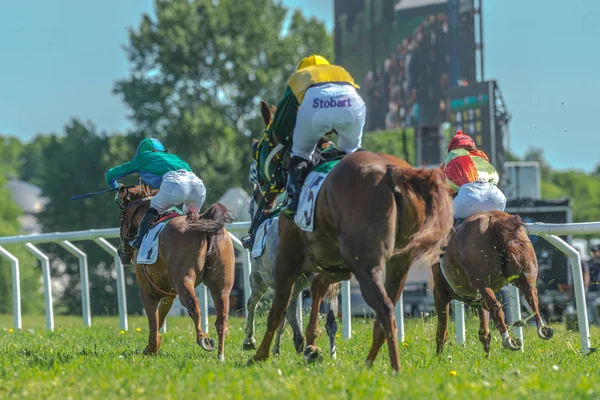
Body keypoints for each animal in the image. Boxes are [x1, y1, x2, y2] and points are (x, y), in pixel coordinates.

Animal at [116, 184, 236, 360]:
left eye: (121, 218)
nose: (121, 253)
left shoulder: (147, 289)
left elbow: (153, 320)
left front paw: (152, 348)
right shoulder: (169, 292)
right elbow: (160, 318)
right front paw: (152, 346)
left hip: (184, 279)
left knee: (194, 306)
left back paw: (203, 340)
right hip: (222, 284)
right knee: (222, 317)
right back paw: (220, 355)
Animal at [246, 101, 452, 372]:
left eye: (257, 147)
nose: (259, 197)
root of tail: (393, 172)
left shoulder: (288, 261)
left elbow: (277, 309)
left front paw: (261, 355)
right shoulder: (336, 264)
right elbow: (317, 288)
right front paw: (312, 346)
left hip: (366, 266)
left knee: (385, 309)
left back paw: (393, 369)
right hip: (399, 263)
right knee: (383, 313)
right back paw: (369, 363)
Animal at [432, 212, 552, 356]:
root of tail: (495, 218)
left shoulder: (440, 293)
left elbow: (442, 332)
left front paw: (439, 358)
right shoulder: (480, 300)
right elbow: (484, 332)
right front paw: (487, 357)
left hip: (483, 284)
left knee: (497, 306)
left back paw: (508, 340)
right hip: (525, 275)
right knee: (532, 297)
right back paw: (542, 328)